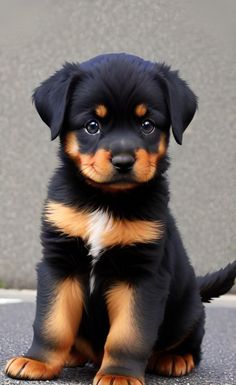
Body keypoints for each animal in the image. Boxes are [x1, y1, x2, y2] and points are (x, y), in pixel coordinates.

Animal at [6, 52, 236, 382]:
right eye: (92, 125)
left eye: (147, 125)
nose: (124, 161)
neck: (104, 202)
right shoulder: (59, 262)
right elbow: (52, 323)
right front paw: (37, 361)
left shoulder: (141, 275)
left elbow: (129, 333)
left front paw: (120, 373)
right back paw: (73, 355)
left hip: (188, 310)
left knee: (192, 341)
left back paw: (175, 358)